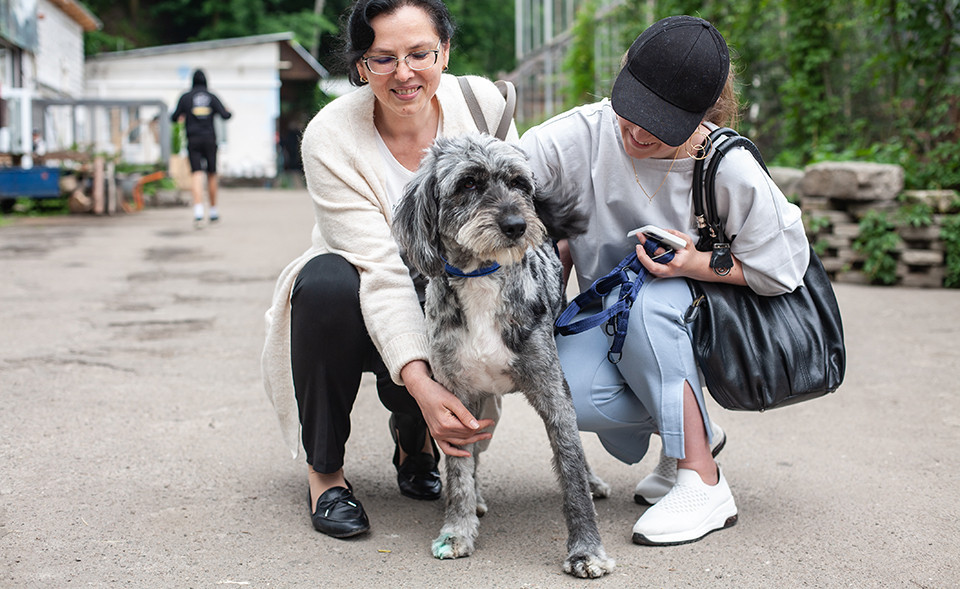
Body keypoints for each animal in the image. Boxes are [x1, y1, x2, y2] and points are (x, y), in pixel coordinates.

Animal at [394, 134, 620, 580]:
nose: (516, 225)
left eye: (518, 183)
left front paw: (586, 551)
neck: (482, 277)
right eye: (468, 183)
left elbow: (570, 468)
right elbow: (459, 472)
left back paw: (593, 482)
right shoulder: (455, 401)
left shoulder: (553, 394)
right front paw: (457, 530)